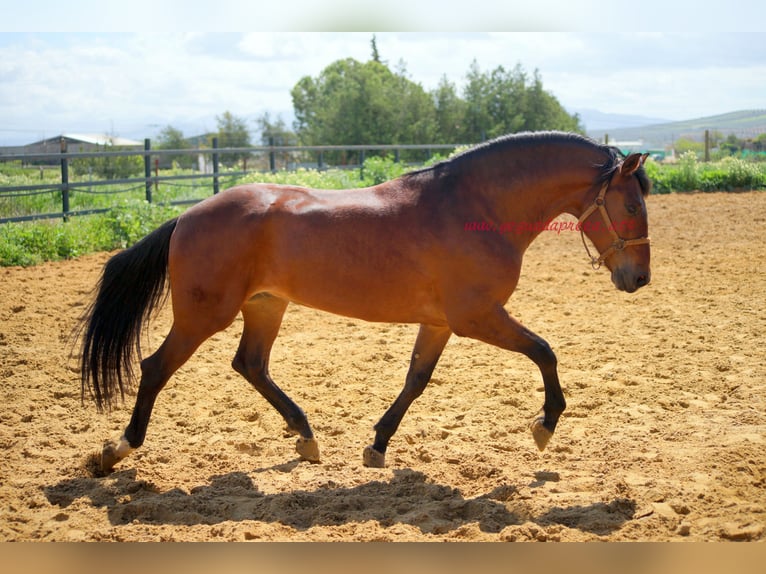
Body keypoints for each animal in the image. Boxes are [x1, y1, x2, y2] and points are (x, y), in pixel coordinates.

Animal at [80, 131, 652, 474]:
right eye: (630, 205)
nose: (639, 278)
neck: (472, 207)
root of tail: (188, 215)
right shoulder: (477, 317)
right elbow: (545, 352)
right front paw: (544, 426)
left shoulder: (441, 323)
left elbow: (416, 380)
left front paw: (377, 445)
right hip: (204, 314)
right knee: (156, 368)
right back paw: (116, 450)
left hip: (265, 306)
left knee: (251, 364)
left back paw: (306, 436)